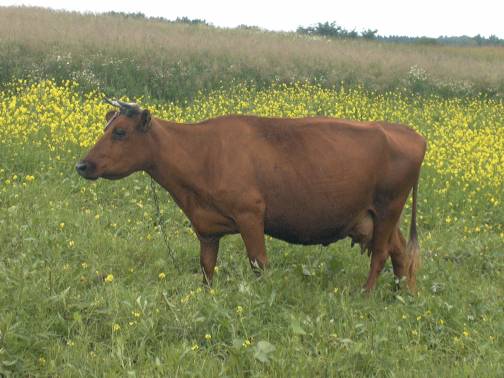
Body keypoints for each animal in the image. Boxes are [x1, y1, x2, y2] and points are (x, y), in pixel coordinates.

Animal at [77, 101, 428, 292]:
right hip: (375, 216)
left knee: (381, 254)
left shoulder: (250, 214)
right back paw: (403, 295)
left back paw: (365, 295)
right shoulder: (206, 227)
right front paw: (208, 298)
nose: (82, 165)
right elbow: (206, 267)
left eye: (120, 132)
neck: (201, 152)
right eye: (107, 128)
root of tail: (409, 132)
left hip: (388, 207)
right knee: (400, 252)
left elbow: (259, 263)